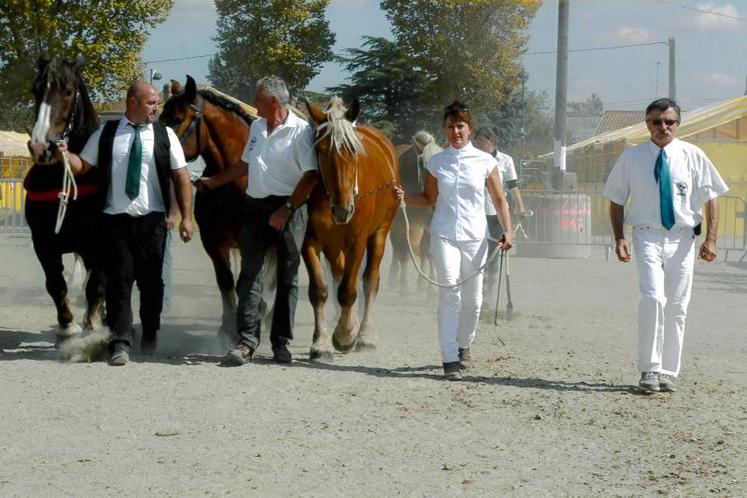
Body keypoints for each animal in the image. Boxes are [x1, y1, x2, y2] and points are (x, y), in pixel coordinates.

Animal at [25, 57, 105, 338]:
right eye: (35, 90)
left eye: (68, 92)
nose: (41, 147)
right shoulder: (43, 242)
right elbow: (55, 283)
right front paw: (67, 326)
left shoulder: (99, 243)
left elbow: (96, 285)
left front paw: (92, 327)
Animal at [302, 98, 400, 362]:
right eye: (320, 149)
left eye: (353, 150)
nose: (342, 209)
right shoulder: (313, 241)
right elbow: (320, 290)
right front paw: (321, 342)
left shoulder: (357, 241)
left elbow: (348, 289)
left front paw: (345, 334)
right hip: (335, 245)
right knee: (339, 273)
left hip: (380, 231)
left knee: (369, 280)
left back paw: (365, 334)